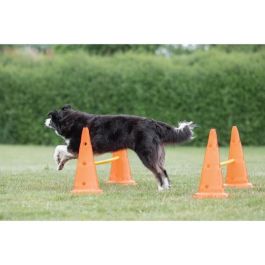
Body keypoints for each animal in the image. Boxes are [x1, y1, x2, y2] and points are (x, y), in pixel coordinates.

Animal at [44, 104, 194, 190]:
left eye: (51, 119)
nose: (45, 120)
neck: (69, 120)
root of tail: (153, 123)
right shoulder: (76, 151)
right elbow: (64, 155)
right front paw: (60, 164)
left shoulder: (75, 147)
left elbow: (58, 148)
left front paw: (57, 159)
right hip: (157, 154)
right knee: (164, 170)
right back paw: (167, 188)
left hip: (146, 154)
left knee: (158, 171)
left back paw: (161, 189)